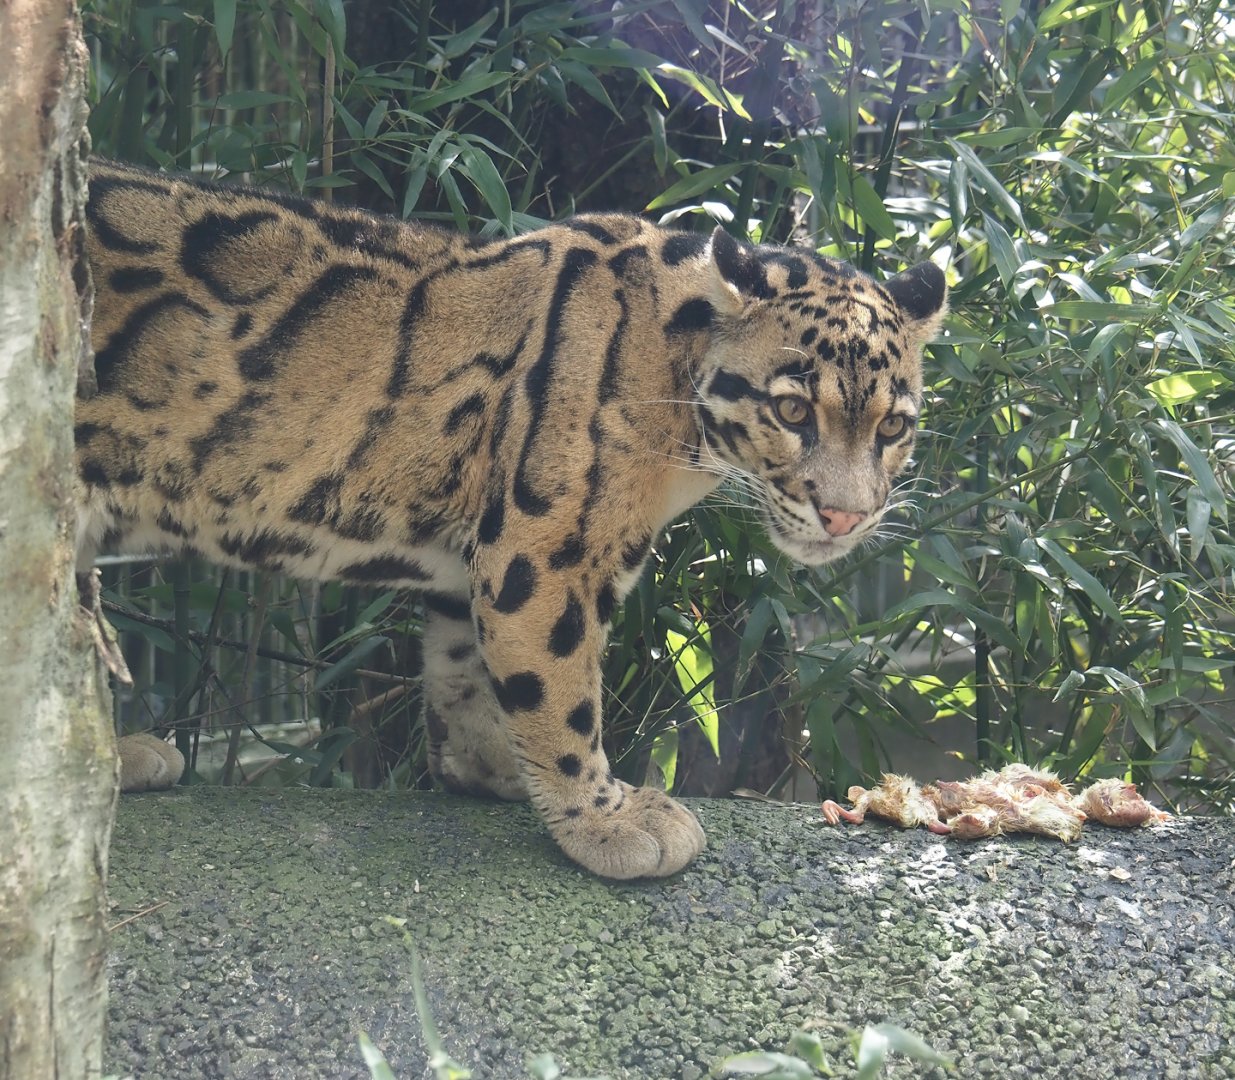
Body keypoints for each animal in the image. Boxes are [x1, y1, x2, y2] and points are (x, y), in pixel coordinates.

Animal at [78, 158, 946, 880]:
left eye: (893, 428)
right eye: (793, 410)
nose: (844, 516)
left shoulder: (478, 547)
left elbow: (468, 664)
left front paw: (488, 765)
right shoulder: (544, 543)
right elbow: (558, 681)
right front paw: (603, 817)